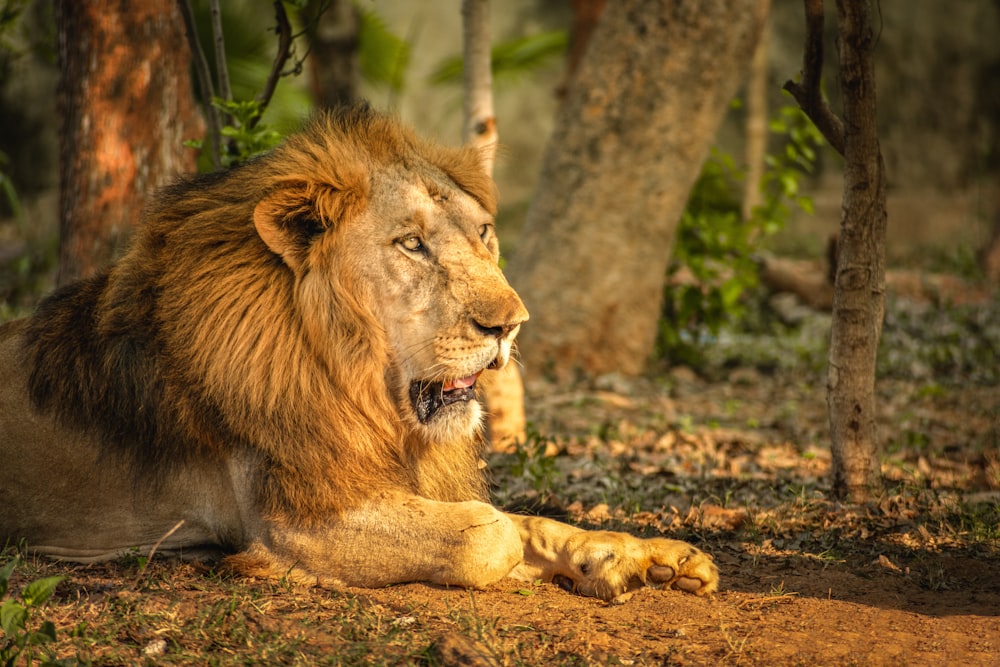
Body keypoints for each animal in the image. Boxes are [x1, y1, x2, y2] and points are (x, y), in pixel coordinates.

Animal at [1, 107, 720, 604]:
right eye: (411, 245)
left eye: (484, 233)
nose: (510, 325)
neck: (353, 382)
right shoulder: (297, 518)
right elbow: (490, 531)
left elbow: (531, 520)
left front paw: (641, 555)